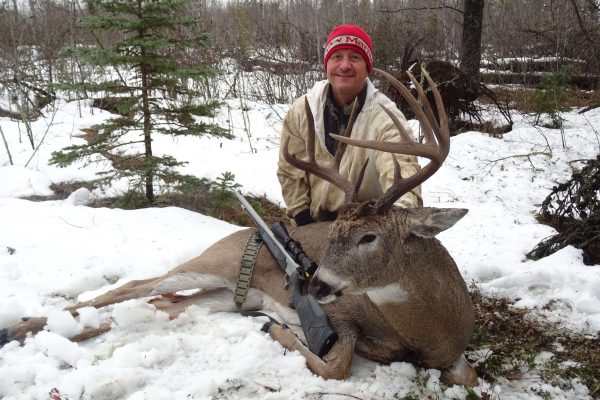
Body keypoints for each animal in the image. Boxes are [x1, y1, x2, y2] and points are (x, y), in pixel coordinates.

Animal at [0, 68, 478, 388]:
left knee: (161, 305)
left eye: (368, 236)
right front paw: (279, 330)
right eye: (336, 233)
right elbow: (337, 365)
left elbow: (467, 377)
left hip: (226, 296)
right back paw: (18, 328)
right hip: (217, 262)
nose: (314, 283)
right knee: (134, 285)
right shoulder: (342, 315)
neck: (426, 329)